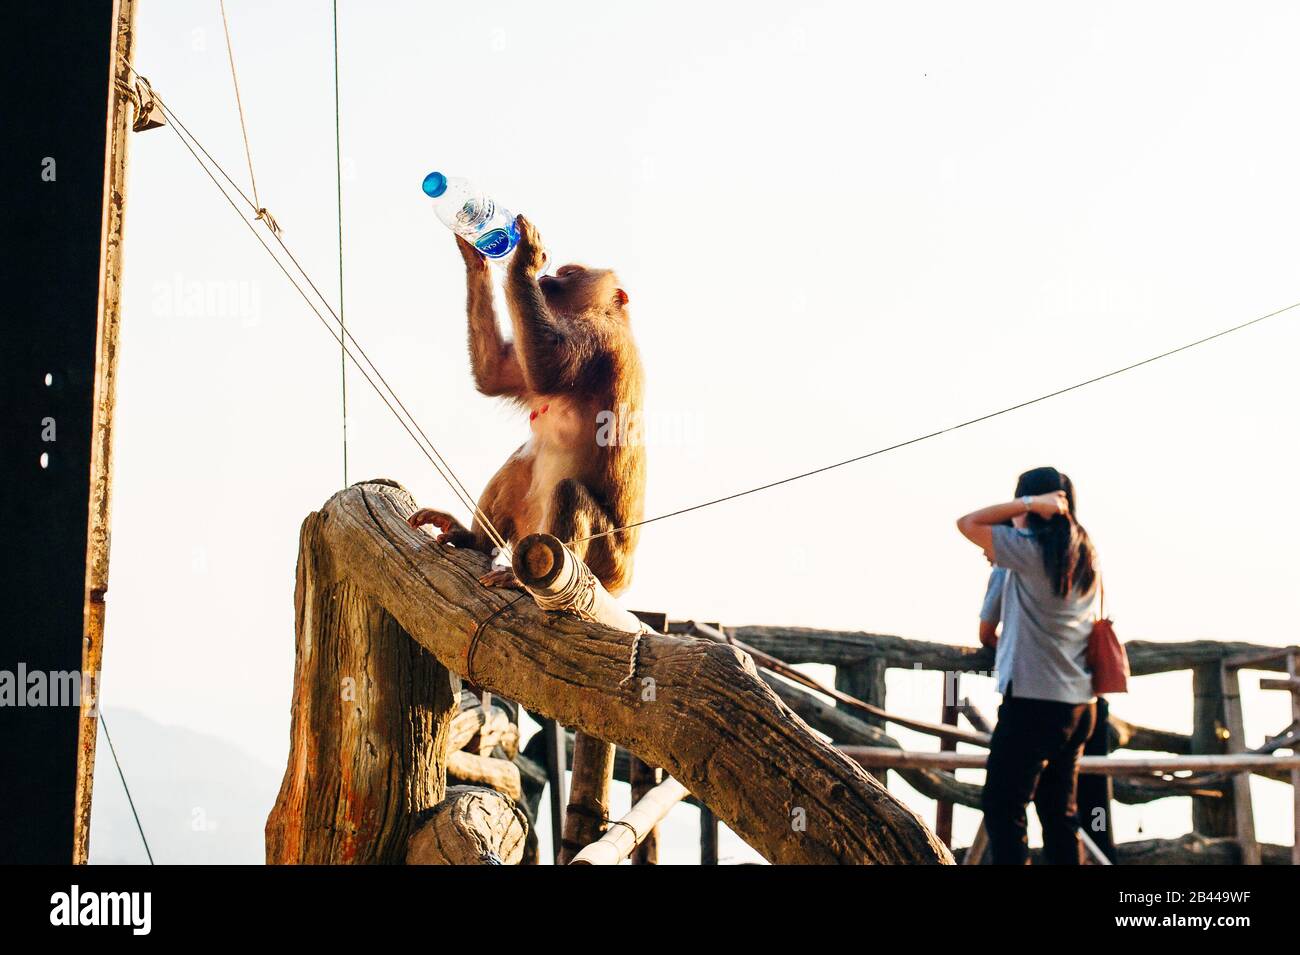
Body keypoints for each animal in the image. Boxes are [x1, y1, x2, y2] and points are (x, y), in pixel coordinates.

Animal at [408, 214, 647, 597]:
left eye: (569, 273)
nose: (549, 276)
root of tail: (623, 580)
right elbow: (494, 375)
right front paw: (475, 254)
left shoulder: (598, 335)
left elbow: (547, 366)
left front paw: (525, 256)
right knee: (522, 461)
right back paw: (475, 540)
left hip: (605, 560)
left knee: (569, 492)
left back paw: (527, 583)